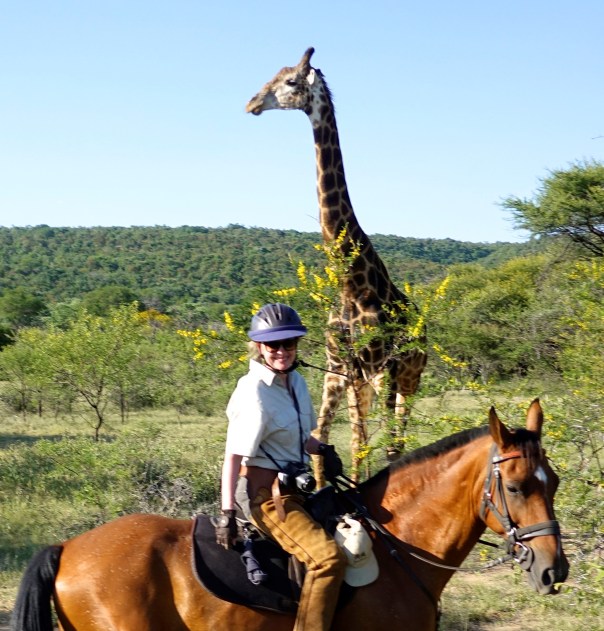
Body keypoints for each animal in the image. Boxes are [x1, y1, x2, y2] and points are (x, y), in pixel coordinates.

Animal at [247, 47, 427, 485]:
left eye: (291, 81)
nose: (252, 104)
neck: (351, 282)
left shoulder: (372, 370)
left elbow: (363, 445)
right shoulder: (337, 368)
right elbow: (322, 441)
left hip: (409, 378)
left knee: (396, 441)